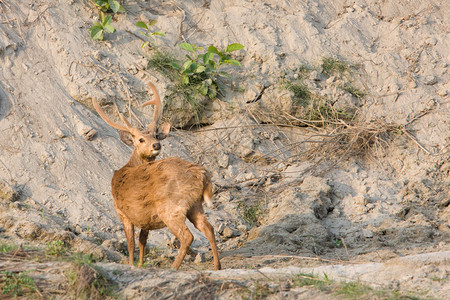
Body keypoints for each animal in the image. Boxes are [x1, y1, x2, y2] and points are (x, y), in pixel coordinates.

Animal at [92, 81, 221, 270]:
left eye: (155, 135)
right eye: (141, 139)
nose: (156, 145)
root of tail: (201, 173)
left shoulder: (121, 211)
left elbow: (131, 242)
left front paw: (131, 264)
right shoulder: (145, 217)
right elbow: (142, 241)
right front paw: (140, 264)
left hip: (170, 207)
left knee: (187, 236)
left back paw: (174, 267)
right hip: (195, 205)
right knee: (209, 228)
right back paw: (217, 266)